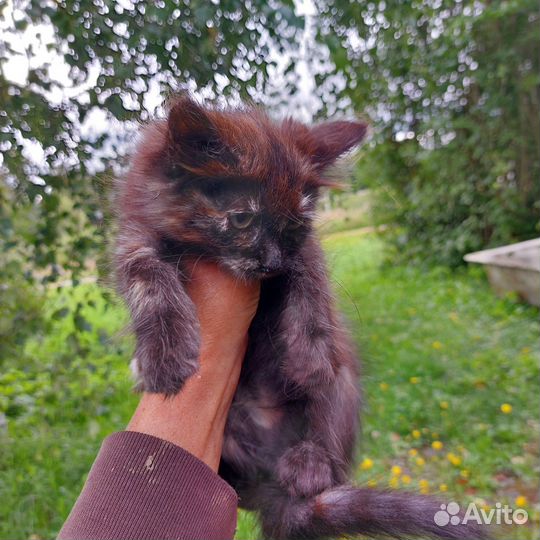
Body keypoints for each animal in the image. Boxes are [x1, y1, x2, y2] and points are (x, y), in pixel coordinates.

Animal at [116, 97, 488, 540]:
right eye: (242, 219)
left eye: (293, 224)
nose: (270, 262)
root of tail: (271, 483)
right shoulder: (134, 236)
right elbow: (144, 274)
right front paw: (165, 351)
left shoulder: (303, 253)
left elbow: (310, 277)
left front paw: (308, 353)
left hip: (343, 383)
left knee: (329, 436)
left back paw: (309, 461)